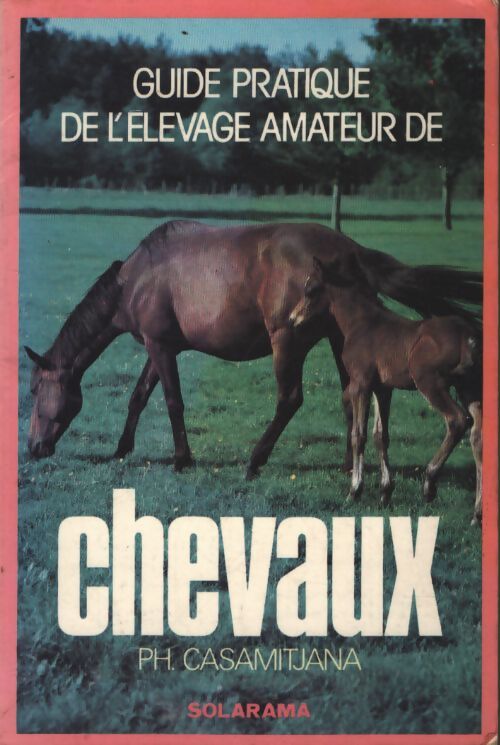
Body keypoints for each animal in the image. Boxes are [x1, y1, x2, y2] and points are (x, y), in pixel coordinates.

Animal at [25, 220, 482, 481]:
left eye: (33, 391)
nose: (33, 448)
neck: (135, 278)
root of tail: (350, 251)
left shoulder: (160, 347)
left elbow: (172, 402)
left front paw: (182, 458)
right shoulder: (163, 347)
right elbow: (139, 396)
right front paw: (122, 449)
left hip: (287, 342)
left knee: (290, 399)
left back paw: (255, 461)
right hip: (342, 341)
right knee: (350, 396)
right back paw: (348, 464)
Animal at [289, 255, 482, 524]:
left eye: (311, 289)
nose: (292, 318)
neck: (361, 324)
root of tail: (469, 336)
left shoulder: (360, 385)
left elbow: (358, 435)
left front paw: (354, 491)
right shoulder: (383, 389)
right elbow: (381, 436)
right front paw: (385, 493)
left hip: (431, 383)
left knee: (457, 420)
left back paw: (429, 484)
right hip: (469, 389)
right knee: (478, 435)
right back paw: (477, 513)